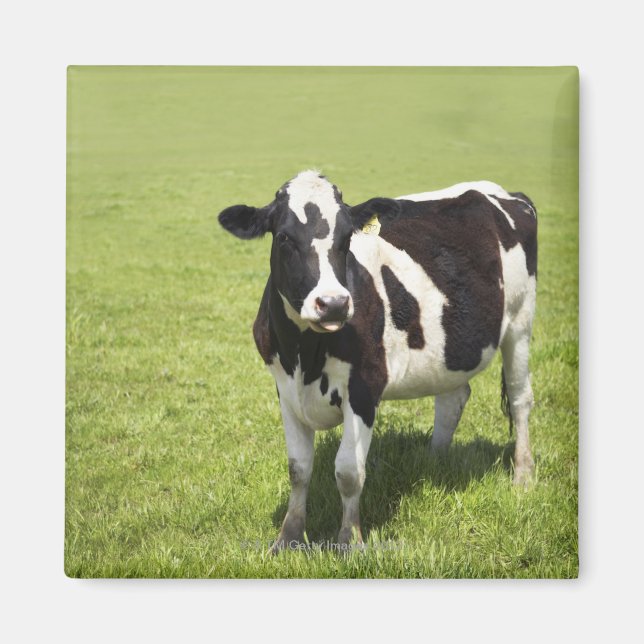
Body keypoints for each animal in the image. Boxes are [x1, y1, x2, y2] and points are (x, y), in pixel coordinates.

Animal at [218, 170, 537, 552]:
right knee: (453, 398)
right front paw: (288, 538)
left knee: (519, 399)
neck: (304, 355)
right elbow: (298, 468)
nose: (333, 303)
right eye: (283, 237)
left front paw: (350, 541)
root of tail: (503, 191)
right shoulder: (284, 387)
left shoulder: (364, 387)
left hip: (520, 321)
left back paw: (523, 476)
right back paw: (433, 462)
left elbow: (348, 471)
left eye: (346, 238)